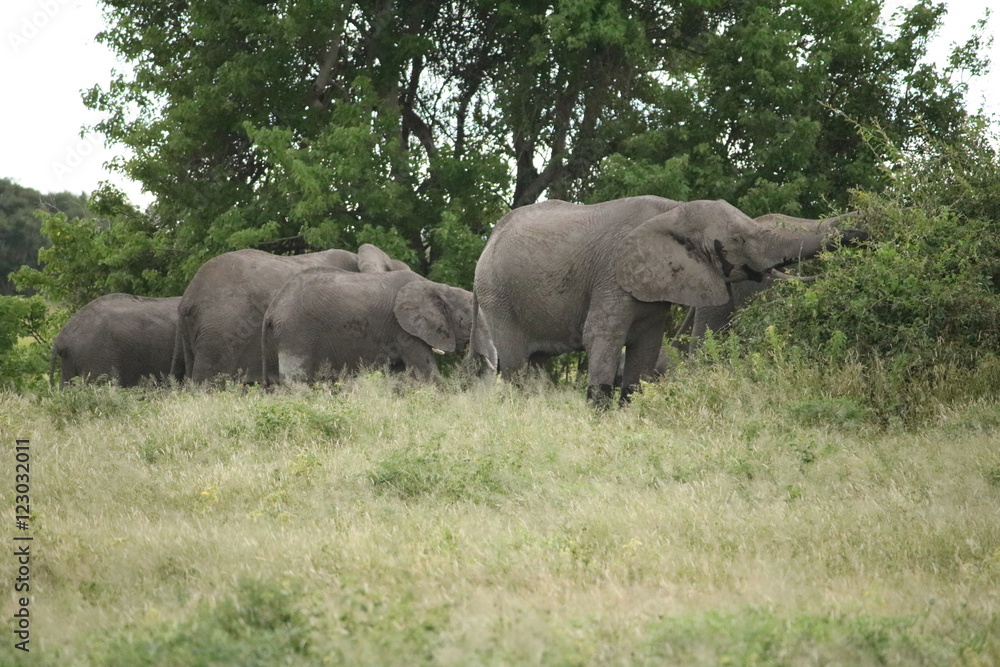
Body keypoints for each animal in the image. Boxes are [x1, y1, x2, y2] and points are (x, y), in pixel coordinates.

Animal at [262, 269, 497, 384]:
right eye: (470, 321)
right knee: (296, 380)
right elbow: (427, 372)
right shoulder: (404, 331)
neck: (436, 287)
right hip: (296, 334)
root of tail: (272, 309)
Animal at [474, 196, 867, 406]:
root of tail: (490, 237)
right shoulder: (613, 275)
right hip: (497, 295)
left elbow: (647, 347)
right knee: (517, 365)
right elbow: (601, 337)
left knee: (537, 364)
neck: (674, 211)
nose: (860, 230)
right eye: (739, 239)